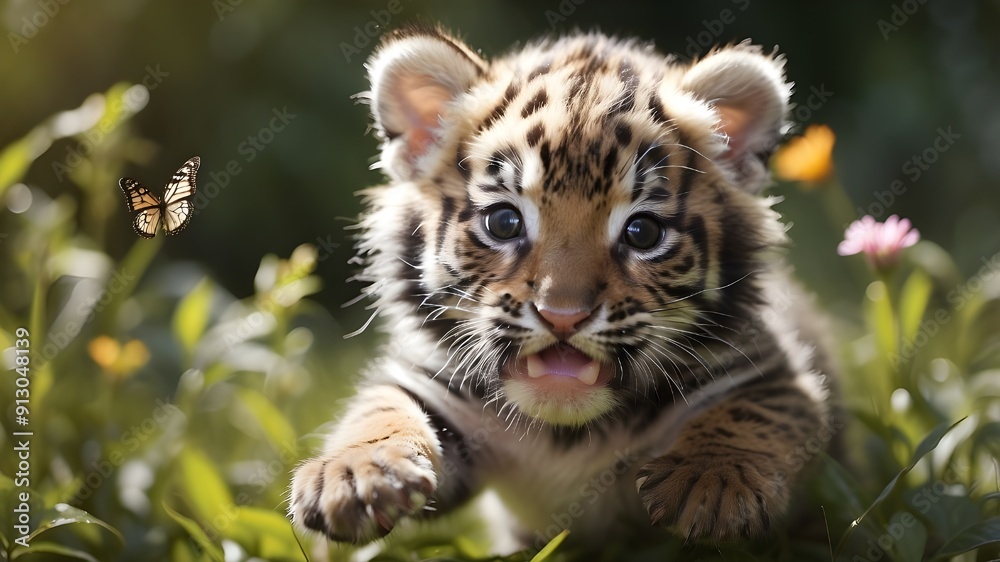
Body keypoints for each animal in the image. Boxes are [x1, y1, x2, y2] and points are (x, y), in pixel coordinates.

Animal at [289, 24, 836, 552]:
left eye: (642, 233)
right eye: (504, 222)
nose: (563, 315)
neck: (567, 434)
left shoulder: (767, 370)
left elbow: (758, 413)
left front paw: (715, 478)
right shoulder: (432, 382)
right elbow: (380, 408)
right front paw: (356, 474)